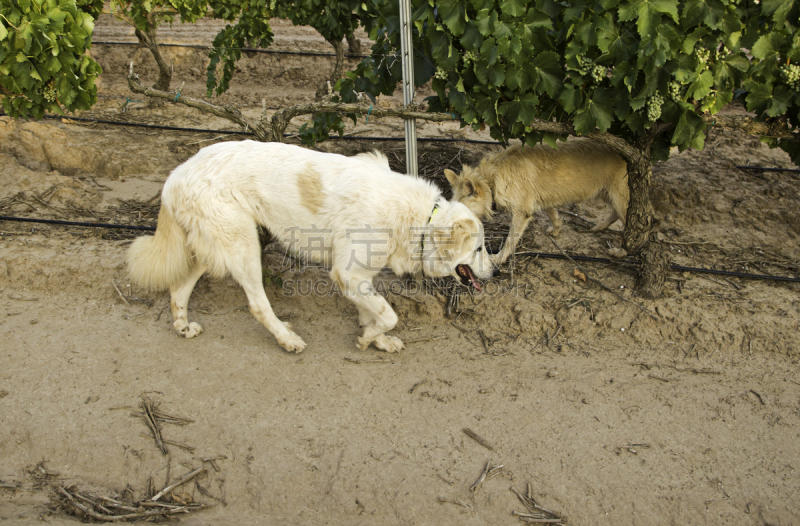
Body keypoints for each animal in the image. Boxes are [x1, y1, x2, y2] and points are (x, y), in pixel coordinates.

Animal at [127, 140, 490, 354]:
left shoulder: (358, 276)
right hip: (244, 246)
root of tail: (176, 174)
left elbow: (373, 312)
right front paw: (368, 339)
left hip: (216, 247)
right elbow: (389, 314)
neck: (421, 220)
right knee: (257, 305)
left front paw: (376, 339)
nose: (496, 272)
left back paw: (183, 327)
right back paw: (287, 339)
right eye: (480, 249)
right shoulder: (347, 273)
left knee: (178, 289)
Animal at [446, 140, 628, 264]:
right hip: (607, 194)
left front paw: (499, 258)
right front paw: (556, 230)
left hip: (620, 200)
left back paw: (621, 251)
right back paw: (600, 227)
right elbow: (554, 215)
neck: (492, 178)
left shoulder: (521, 213)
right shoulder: (546, 200)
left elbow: (510, 239)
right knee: (614, 214)